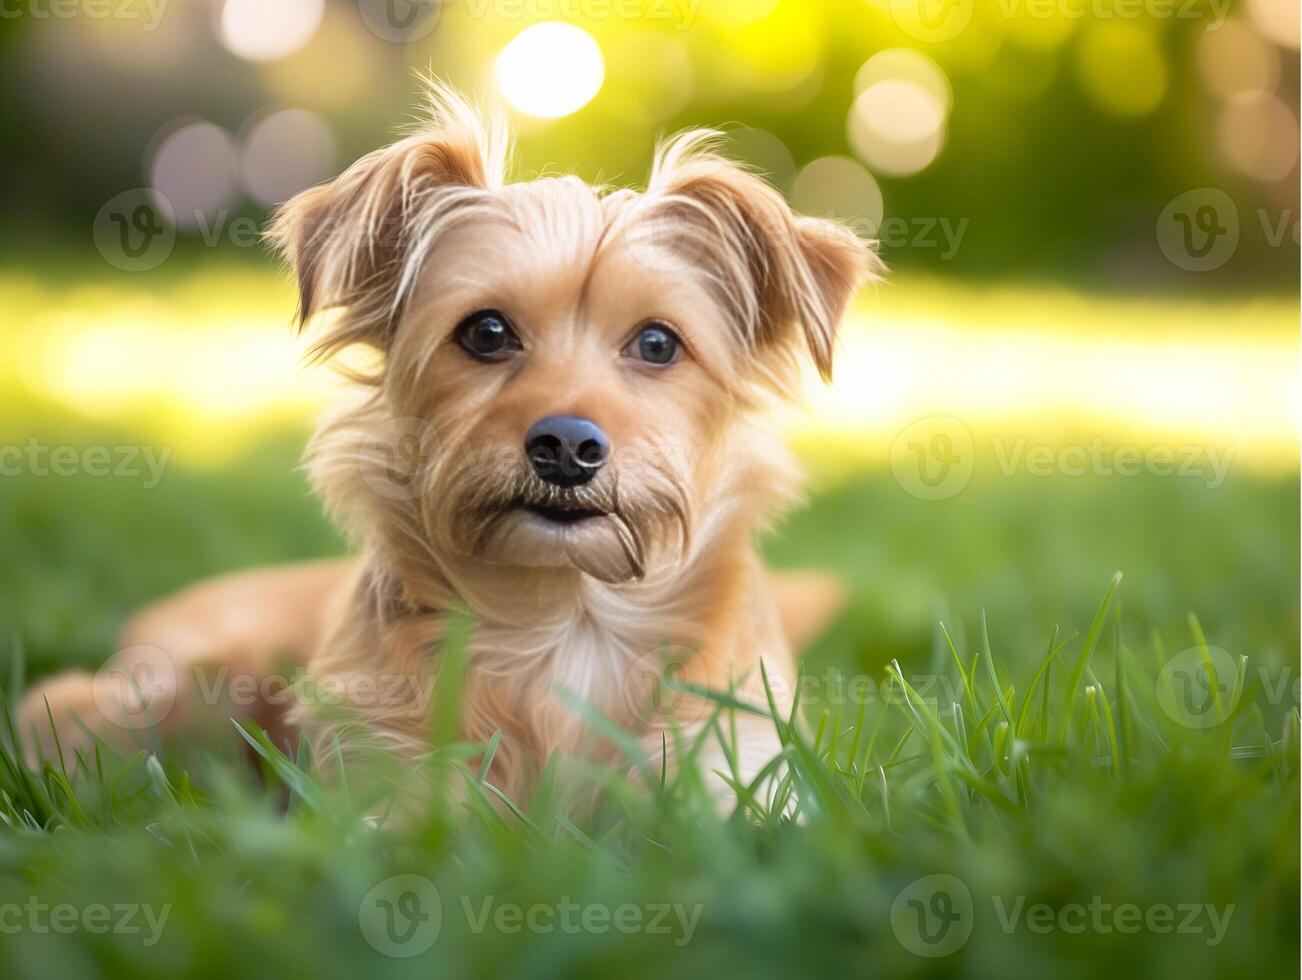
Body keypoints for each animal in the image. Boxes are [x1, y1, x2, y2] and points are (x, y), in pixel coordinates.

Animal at [15, 80, 880, 812]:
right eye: (486, 332)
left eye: (659, 343)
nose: (567, 446)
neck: (562, 623)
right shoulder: (380, 773)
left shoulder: (736, 771)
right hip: (190, 682)